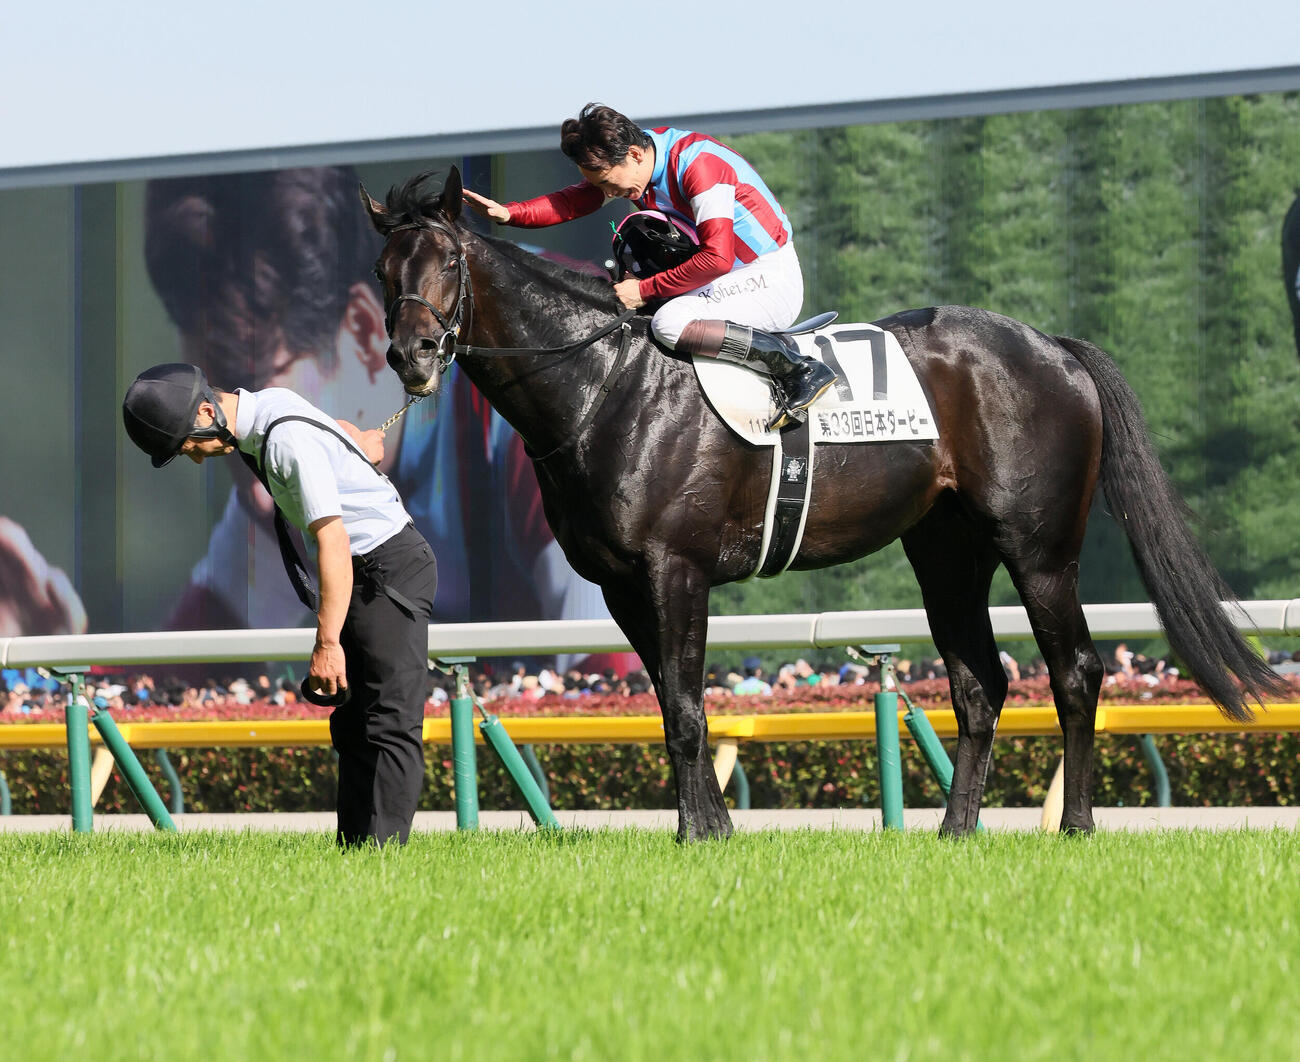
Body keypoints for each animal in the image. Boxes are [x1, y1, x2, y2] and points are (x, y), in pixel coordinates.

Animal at [361, 167, 1284, 841]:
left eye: (447, 263)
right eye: (383, 270)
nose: (412, 354)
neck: (606, 386)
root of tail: (1051, 347)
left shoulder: (674, 568)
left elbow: (688, 708)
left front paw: (699, 836)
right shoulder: (623, 584)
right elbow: (671, 703)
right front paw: (712, 829)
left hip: (1039, 545)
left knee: (1076, 672)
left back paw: (1077, 826)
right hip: (946, 554)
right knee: (980, 683)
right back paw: (955, 831)